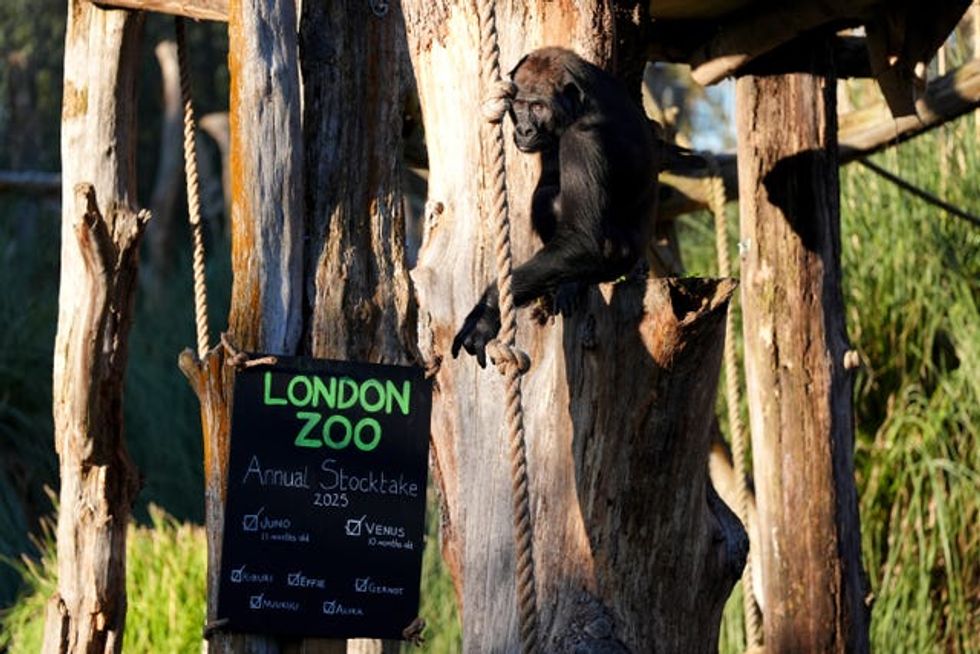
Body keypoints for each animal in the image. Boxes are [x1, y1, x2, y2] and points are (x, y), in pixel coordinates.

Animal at [451, 47, 663, 367]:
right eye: (520, 105)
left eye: (538, 106)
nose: (525, 129)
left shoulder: (584, 140)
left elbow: (583, 238)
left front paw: (486, 312)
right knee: (546, 196)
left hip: (617, 261)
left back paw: (573, 283)